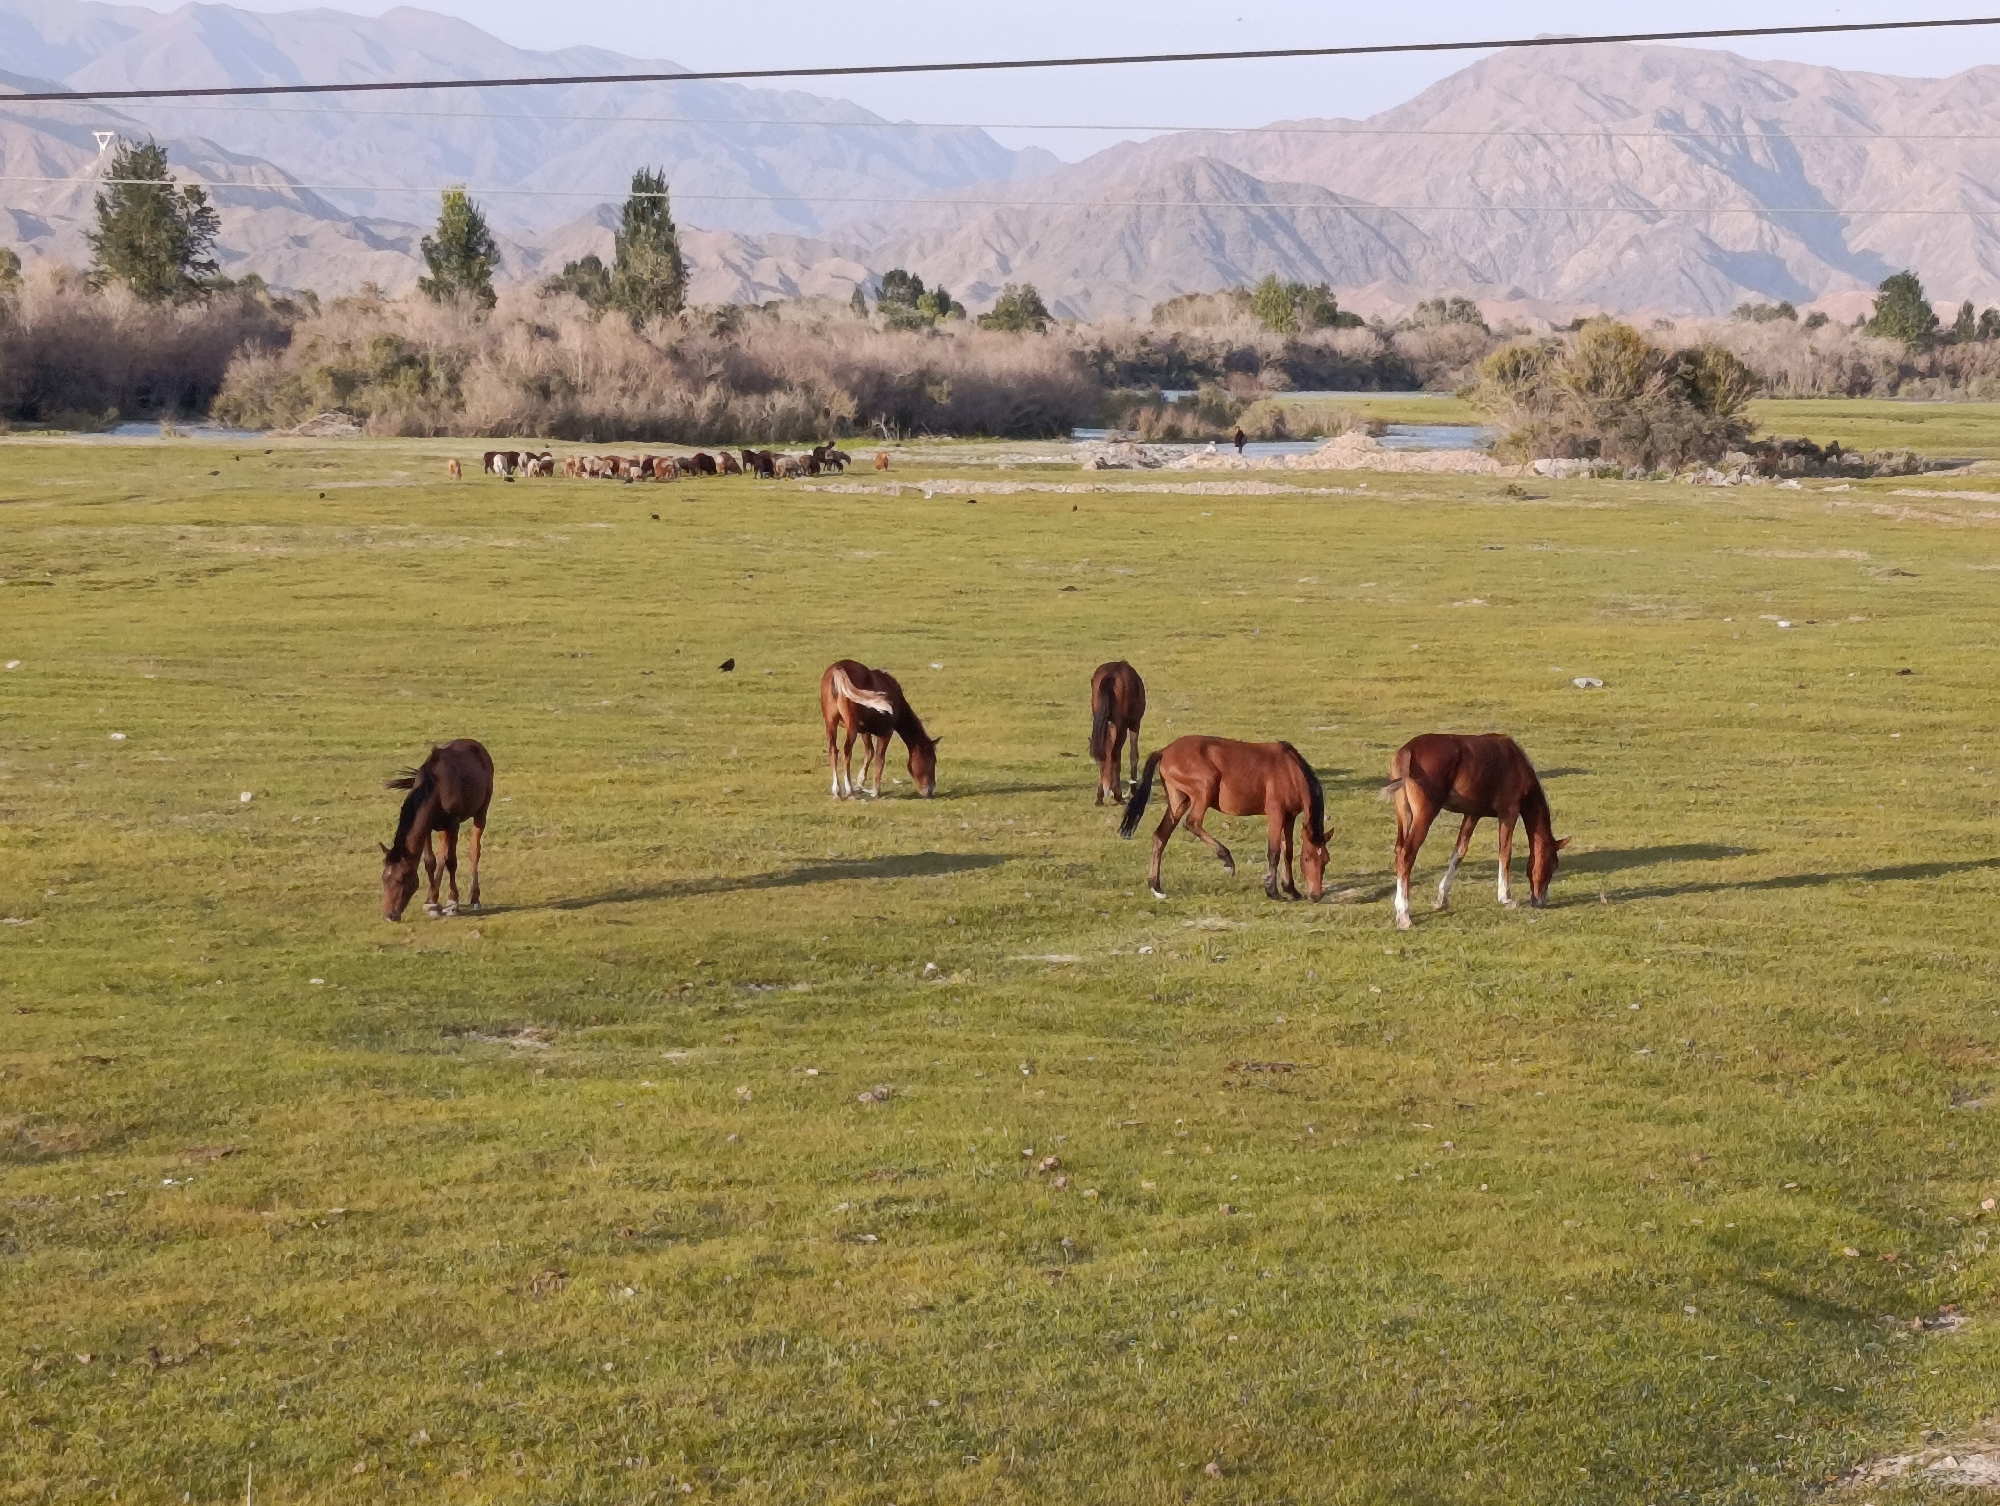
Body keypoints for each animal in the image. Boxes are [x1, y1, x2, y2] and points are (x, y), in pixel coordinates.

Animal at [380, 739, 494, 921]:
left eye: (401, 878)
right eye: (384, 879)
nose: (389, 916)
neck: (437, 788)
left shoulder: (453, 824)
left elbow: (452, 861)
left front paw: (453, 902)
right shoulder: (428, 827)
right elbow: (430, 861)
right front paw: (432, 903)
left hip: (480, 812)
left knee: (474, 850)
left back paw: (475, 898)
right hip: (442, 829)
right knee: (442, 855)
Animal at [820, 660, 939, 799]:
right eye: (932, 761)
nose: (931, 790)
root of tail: (838, 669)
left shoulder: (865, 731)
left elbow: (870, 752)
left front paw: (861, 781)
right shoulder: (886, 732)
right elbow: (879, 758)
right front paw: (875, 790)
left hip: (830, 723)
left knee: (833, 750)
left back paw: (837, 790)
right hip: (851, 726)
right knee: (847, 751)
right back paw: (849, 789)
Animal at [1088, 661, 1146, 805]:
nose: (1107, 788)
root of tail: (1111, 674)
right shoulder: (1135, 724)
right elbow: (1133, 755)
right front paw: (1132, 792)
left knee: (1104, 751)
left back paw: (1101, 796)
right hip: (1122, 725)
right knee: (1115, 753)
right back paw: (1118, 795)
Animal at [1120, 737, 1327, 902]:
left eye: (1326, 859)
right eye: (1307, 858)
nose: (1316, 895)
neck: (1291, 770)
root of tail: (1164, 751)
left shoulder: (1290, 816)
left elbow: (1288, 852)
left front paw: (1291, 889)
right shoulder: (1276, 813)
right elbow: (1274, 852)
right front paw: (1272, 891)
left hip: (1178, 801)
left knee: (1160, 836)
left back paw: (1155, 885)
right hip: (1204, 788)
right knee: (1192, 823)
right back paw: (1226, 858)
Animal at [1384, 733, 1569, 930]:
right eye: (1553, 865)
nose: (1542, 900)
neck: (1516, 762)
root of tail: (1408, 750)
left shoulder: (1473, 814)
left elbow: (1459, 851)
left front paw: (1442, 898)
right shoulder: (1508, 812)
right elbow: (1505, 852)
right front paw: (1505, 898)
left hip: (1404, 814)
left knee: (1399, 850)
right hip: (1425, 814)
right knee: (1407, 854)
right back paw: (1404, 913)